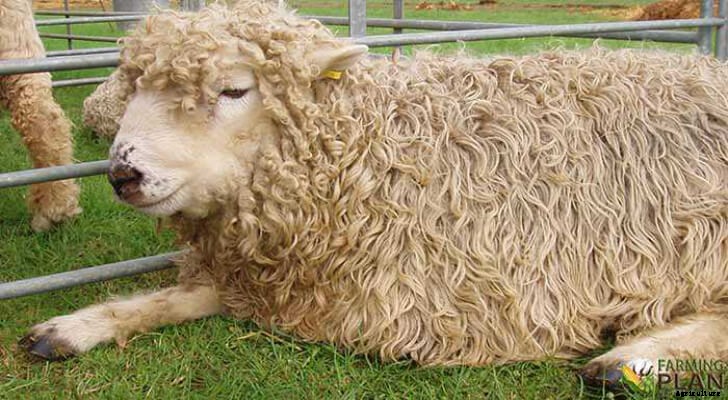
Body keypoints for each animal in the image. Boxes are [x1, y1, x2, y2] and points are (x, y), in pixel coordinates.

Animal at [21, 1, 728, 387]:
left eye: (233, 89)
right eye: (133, 85)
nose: (123, 174)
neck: (371, 155)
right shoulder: (277, 279)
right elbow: (179, 296)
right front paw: (75, 326)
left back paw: (636, 359)